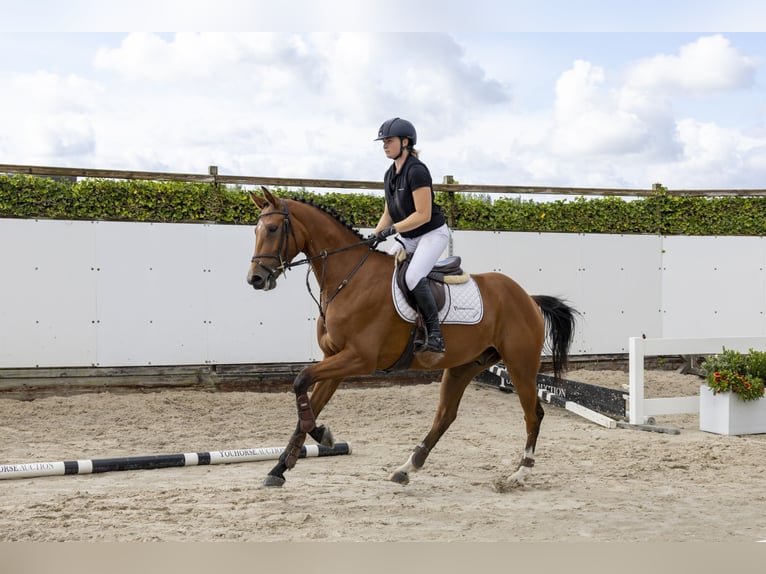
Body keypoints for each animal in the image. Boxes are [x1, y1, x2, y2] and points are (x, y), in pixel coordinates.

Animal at [249, 189, 580, 490]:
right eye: (256, 229)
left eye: (273, 229)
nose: (255, 278)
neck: (348, 279)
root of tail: (528, 297)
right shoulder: (335, 359)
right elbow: (307, 401)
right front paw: (280, 468)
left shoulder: (358, 358)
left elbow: (300, 381)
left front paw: (322, 437)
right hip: (465, 365)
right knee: (445, 416)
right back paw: (407, 467)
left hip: (520, 365)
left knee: (533, 414)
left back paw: (519, 474)